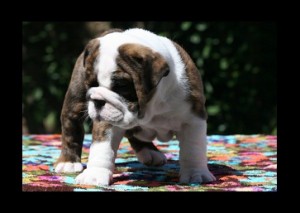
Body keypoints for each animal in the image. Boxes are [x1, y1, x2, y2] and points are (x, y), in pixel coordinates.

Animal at [54, 28, 216, 186]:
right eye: (91, 84)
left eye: (122, 86)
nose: (98, 101)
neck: (152, 107)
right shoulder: (107, 118)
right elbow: (102, 147)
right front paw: (95, 174)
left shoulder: (192, 119)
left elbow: (193, 149)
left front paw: (195, 174)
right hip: (74, 101)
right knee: (71, 127)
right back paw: (68, 162)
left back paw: (150, 152)